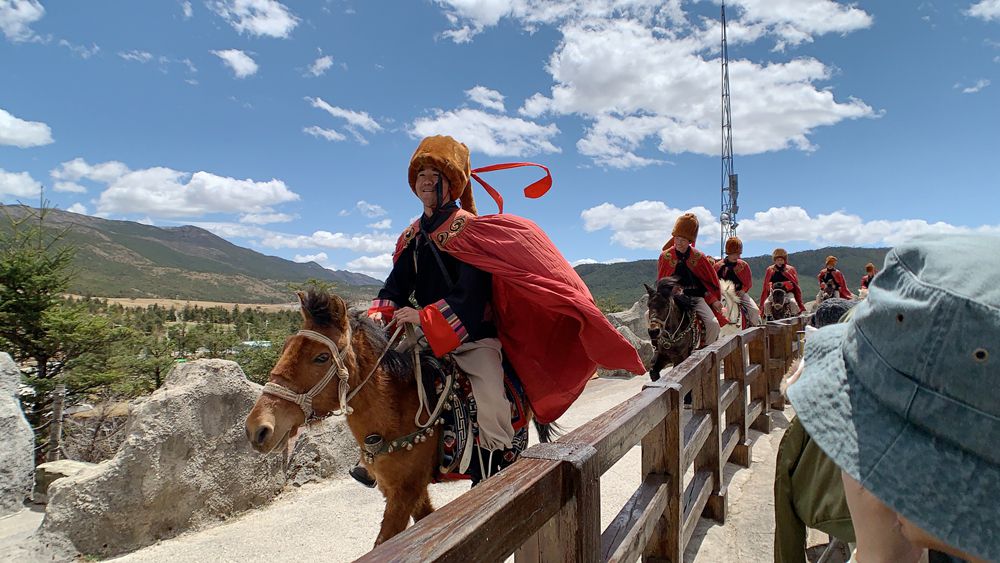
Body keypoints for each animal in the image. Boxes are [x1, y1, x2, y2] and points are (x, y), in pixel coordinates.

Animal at [245, 288, 548, 548]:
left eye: (321, 358)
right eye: (286, 347)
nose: (257, 428)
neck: (396, 414)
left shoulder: (406, 490)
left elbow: (384, 543)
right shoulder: (401, 489)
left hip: (506, 454)